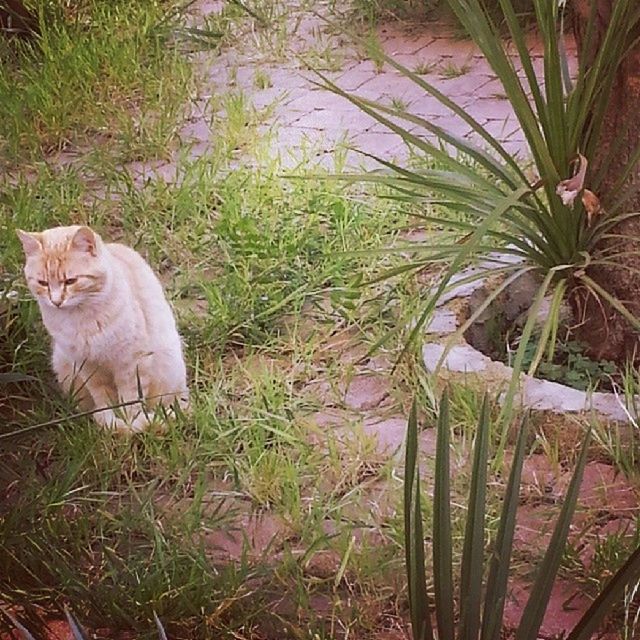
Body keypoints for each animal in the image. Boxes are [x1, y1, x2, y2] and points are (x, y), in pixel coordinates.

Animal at [17, 224, 188, 430]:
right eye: (43, 283)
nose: (56, 301)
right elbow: (103, 397)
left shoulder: (131, 363)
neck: (79, 318)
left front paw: (130, 422)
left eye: (70, 281)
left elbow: (130, 397)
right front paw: (110, 420)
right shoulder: (87, 366)